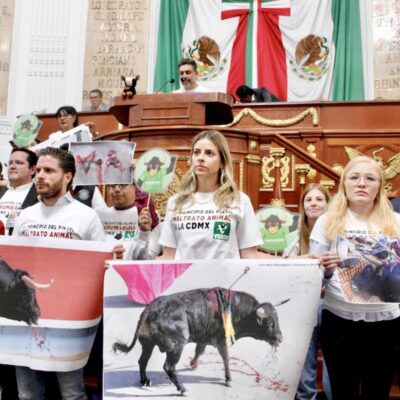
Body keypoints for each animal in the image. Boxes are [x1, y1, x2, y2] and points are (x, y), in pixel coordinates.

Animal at [113, 288, 288, 394]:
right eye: (270, 323)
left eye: (278, 320)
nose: (280, 339)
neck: (237, 310)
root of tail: (150, 308)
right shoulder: (222, 341)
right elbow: (226, 358)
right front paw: (228, 380)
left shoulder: (203, 338)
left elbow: (199, 350)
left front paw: (193, 364)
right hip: (176, 346)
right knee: (168, 367)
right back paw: (182, 389)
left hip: (147, 344)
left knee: (142, 361)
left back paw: (145, 381)